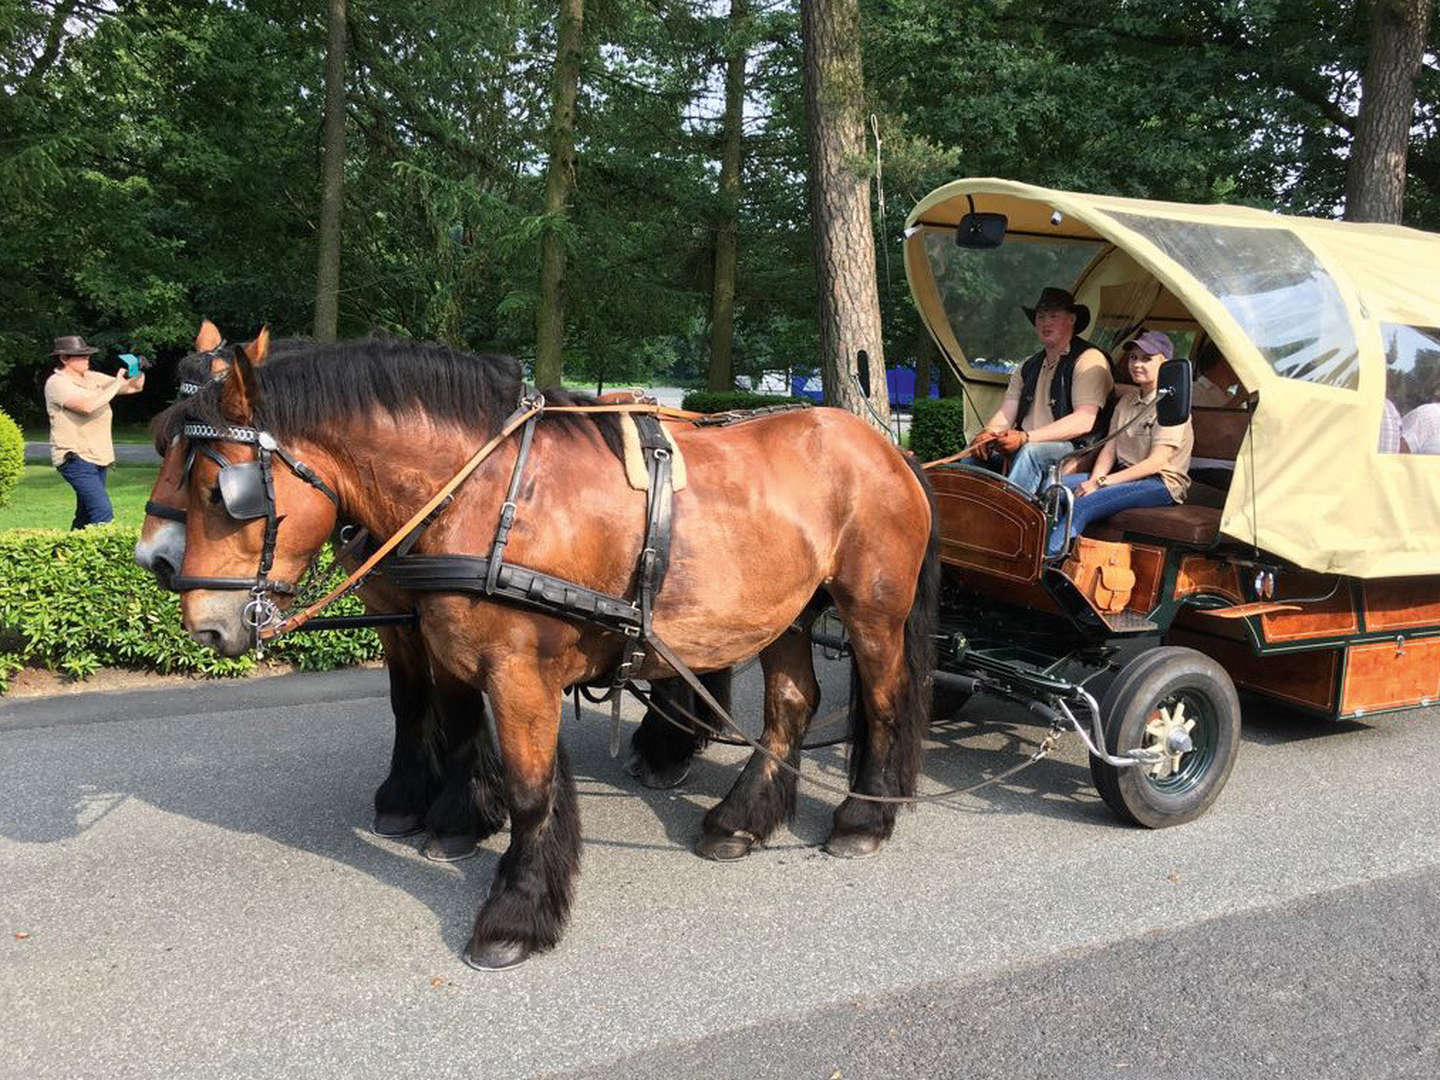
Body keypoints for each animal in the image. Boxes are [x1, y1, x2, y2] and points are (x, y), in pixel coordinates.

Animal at [163, 338, 938, 973]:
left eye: (221, 493)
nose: (203, 623)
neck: (484, 494)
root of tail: (888, 449)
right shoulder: (441, 642)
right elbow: (448, 726)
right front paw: (453, 820)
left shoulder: (519, 673)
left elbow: (532, 789)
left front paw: (516, 913)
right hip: (782, 611)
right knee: (792, 703)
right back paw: (740, 819)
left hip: (872, 608)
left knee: (886, 698)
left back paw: (864, 817)